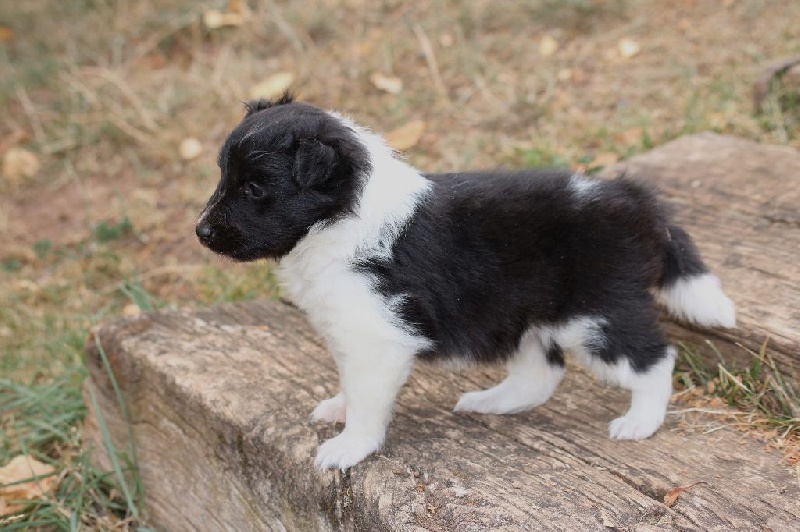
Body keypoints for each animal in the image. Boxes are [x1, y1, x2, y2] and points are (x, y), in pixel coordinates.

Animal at [197, 94, 736, 470]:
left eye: (255, 188)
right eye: (222, 176)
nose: (200, 232)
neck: (340, 217)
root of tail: (634, 202)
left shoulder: (377, 339)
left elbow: (368, 401)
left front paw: (350, 447)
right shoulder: (351, 333)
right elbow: (349, 384)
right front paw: (338, 408)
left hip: (597, 314)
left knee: (654, 358)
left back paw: (640, 421)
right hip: (525, 313)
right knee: (541, 373)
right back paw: (490, 402)